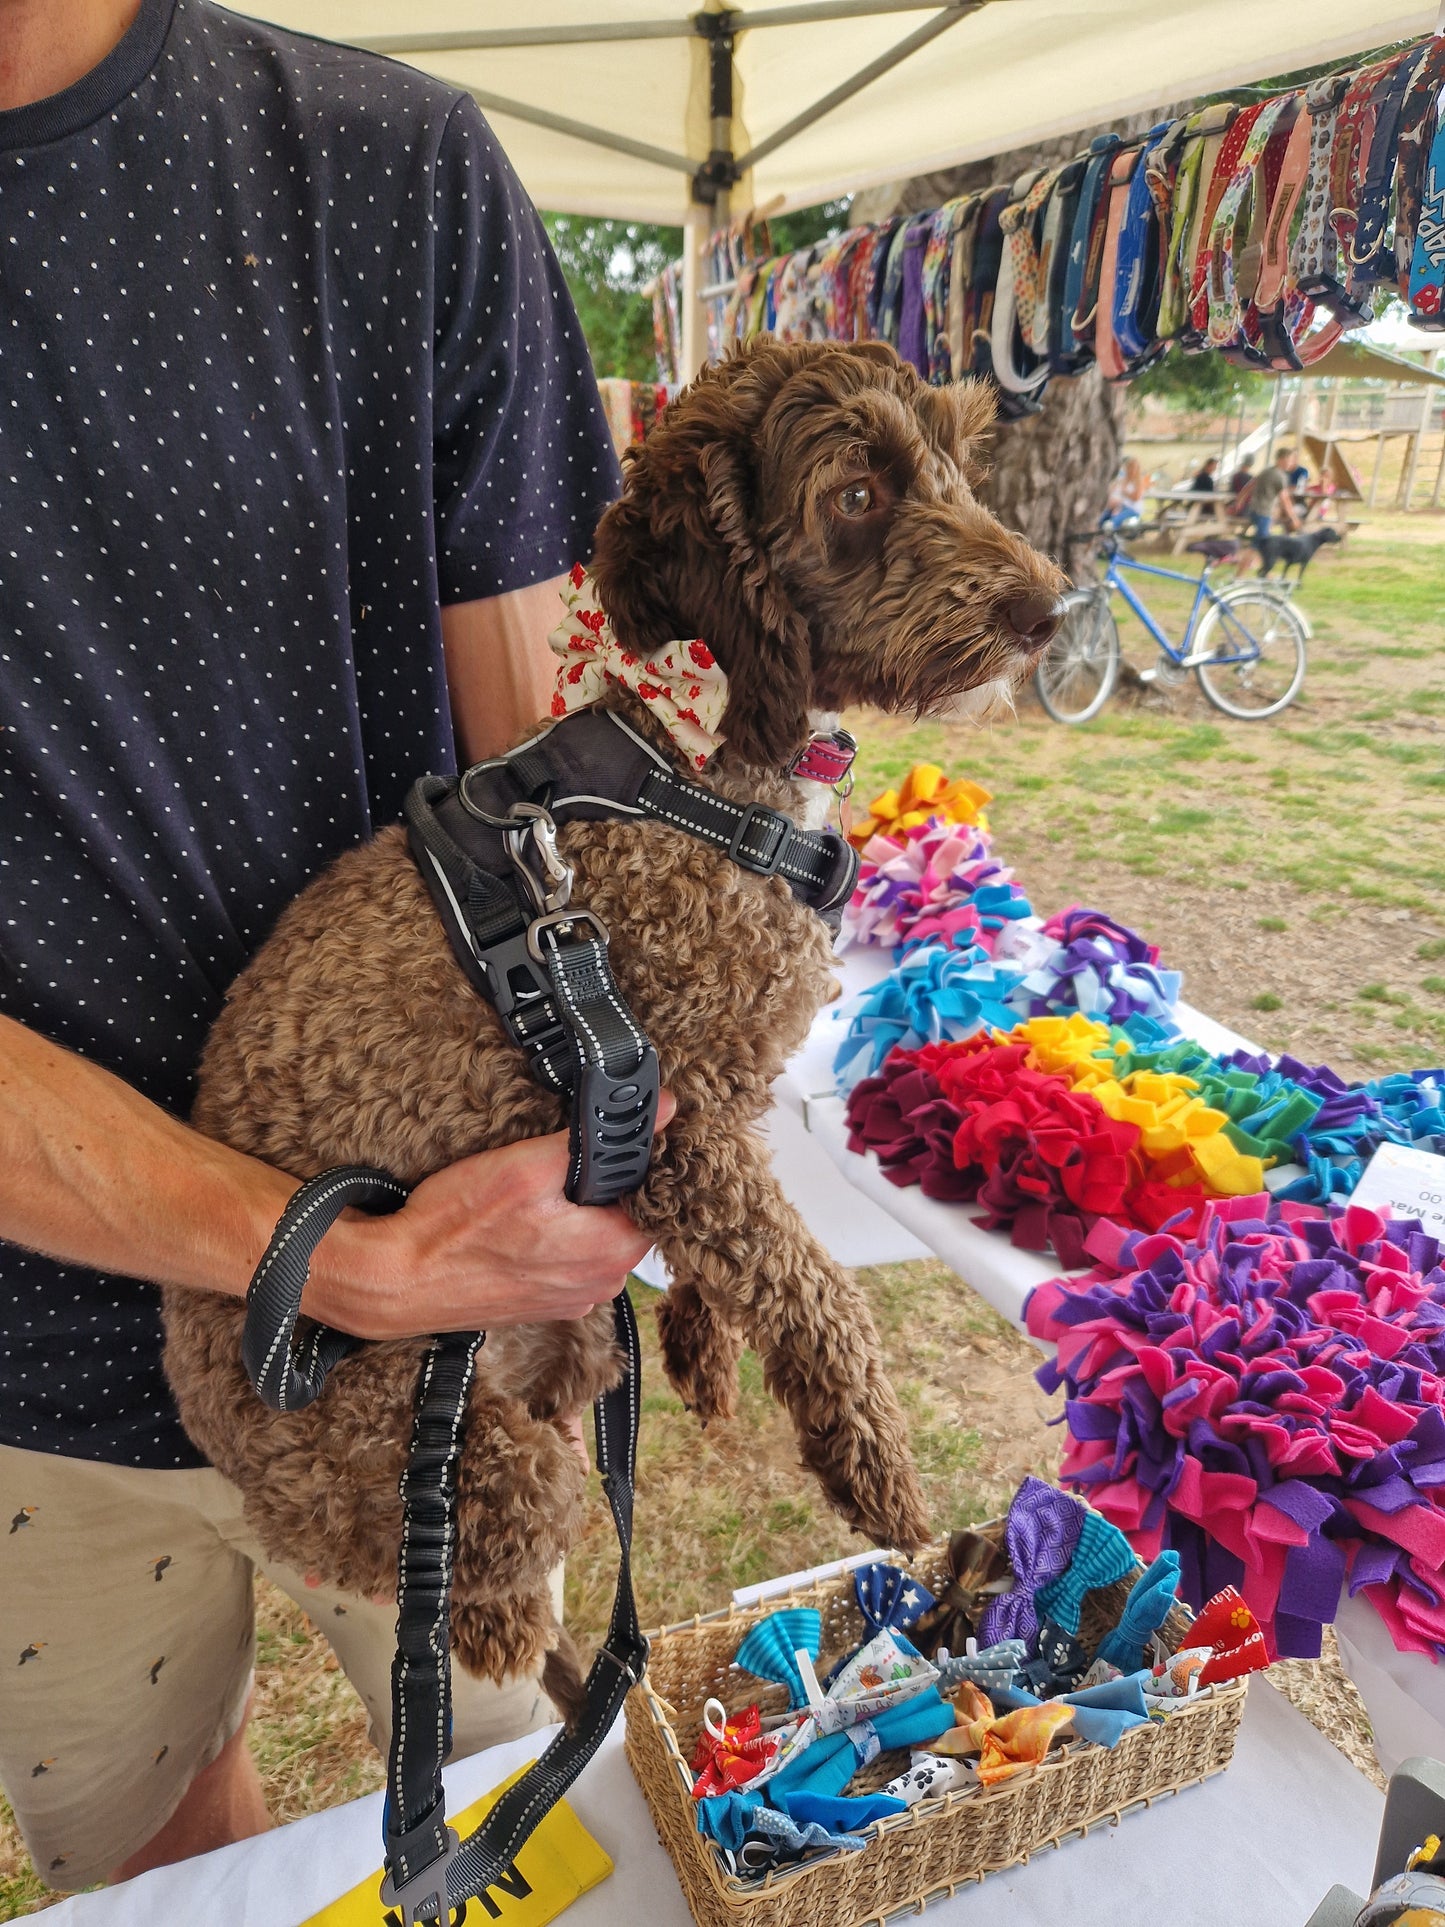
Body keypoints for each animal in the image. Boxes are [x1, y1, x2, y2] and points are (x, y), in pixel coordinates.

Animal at [160, 335, 1063, 1718]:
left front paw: (700, 1342)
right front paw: (870, 1466)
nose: (1047, 610)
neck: (684, 767)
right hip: (448, 1456)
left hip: (566, 1355)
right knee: (472, 1582)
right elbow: (810, 1287)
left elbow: (737, 1265)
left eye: (959, 460)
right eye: (856, 494)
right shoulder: (670, 1108)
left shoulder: (719, 1108)